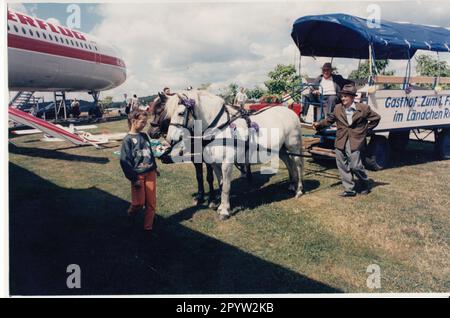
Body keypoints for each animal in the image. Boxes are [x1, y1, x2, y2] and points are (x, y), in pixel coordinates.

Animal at [163, 89, 304, 219]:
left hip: (294, 147)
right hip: (281, 150)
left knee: (297, 165)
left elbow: (226, 186)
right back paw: (292, 185)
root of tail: (291, 113)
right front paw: (221, 207)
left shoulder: (227, 163)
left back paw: (299, 190)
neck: (220, 128)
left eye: (181, 113)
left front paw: (225, 211)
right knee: (289, 163)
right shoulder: (215, 164)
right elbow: (221, 184)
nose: (169, 140)